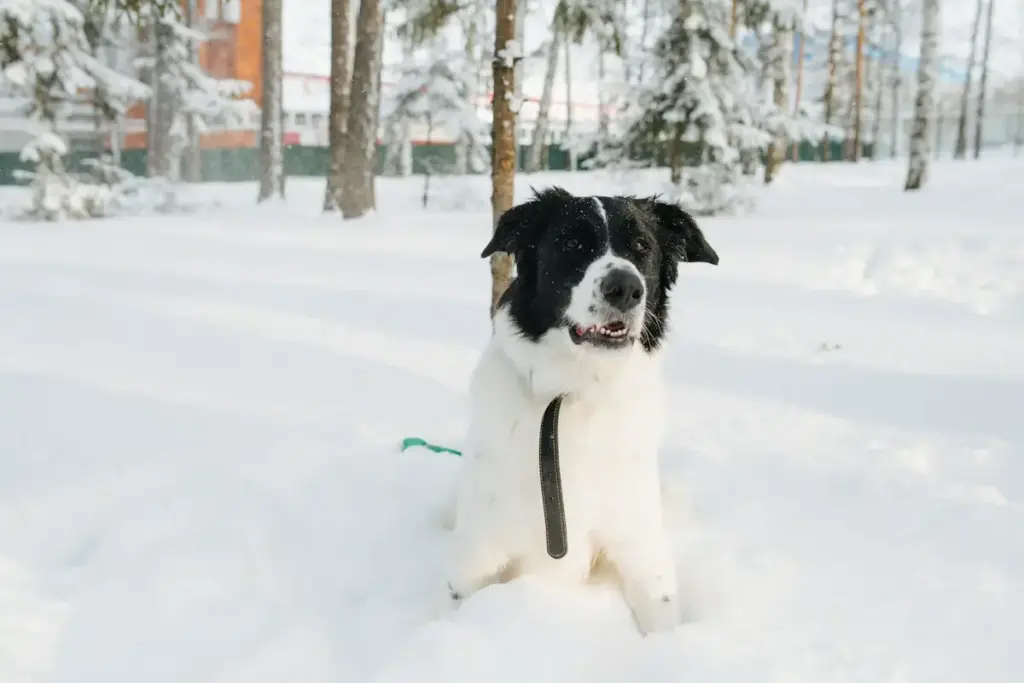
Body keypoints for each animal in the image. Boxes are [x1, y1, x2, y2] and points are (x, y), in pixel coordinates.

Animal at [448, 185, 720, 634]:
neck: (576, 391)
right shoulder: (477, 553)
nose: (624, 287)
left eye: (642, 247)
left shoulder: (640, 542)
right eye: (572, 243)